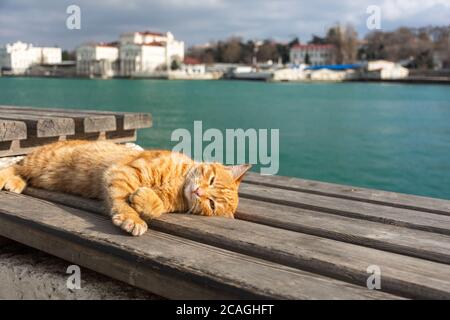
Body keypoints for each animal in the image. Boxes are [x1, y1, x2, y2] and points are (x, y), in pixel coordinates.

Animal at [0, 140, 250, 235]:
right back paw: (6, 178)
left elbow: (158, 206)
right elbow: (120, 199)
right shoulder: (125, 172)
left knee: (22, 173)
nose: (199, 192)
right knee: (16, 165)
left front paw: (147, 201)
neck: (178, 184)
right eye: (211, 180)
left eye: (211, 203)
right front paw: (132, 218)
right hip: (41, 160)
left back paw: (16, 183)